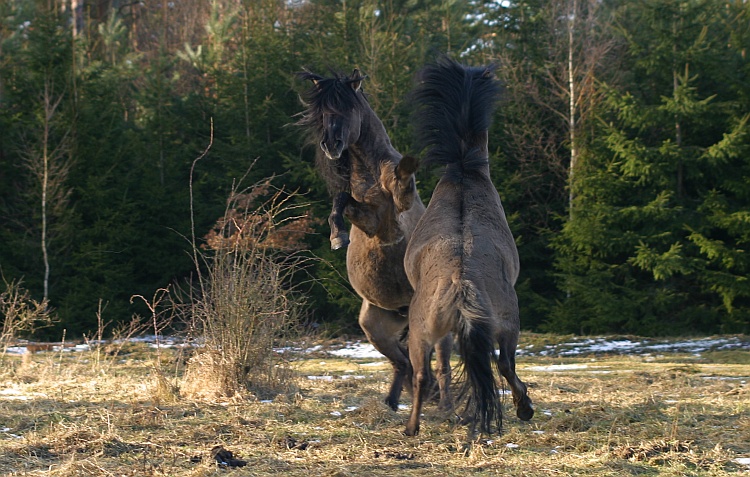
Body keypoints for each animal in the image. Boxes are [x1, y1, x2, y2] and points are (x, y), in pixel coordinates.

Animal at [298, 68, 452, 410]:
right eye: (322, 111)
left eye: (347, 108)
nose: (331, 144)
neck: (370, 174)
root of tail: (403, 310)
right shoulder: (366, 219)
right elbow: (341, 200)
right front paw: (337, 237)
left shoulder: (393, 220)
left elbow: (400, 189)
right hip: (374, 329)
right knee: (404, 363)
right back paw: (393, 402)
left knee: (437, 360)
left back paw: (442, 402)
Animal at [406, 57, 536, 436]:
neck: (464, 177)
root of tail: (460, 281)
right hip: (504, 324)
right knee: (504, 366)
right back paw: (524, 407)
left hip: (426, 335)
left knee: (424, 374)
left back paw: (413, 426)